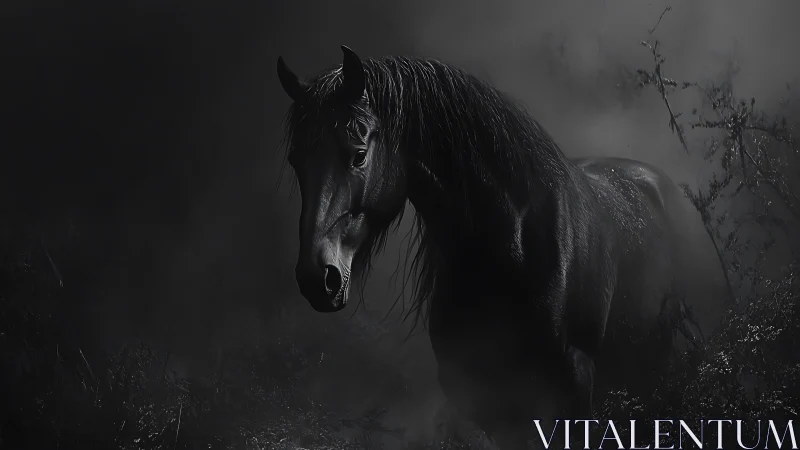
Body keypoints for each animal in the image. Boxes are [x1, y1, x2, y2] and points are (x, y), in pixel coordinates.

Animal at [275, 46, 727, 449]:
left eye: (358, 155)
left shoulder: (574, 386)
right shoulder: (486, 401)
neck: (510, 248)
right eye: (297, 161)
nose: (316, 277)